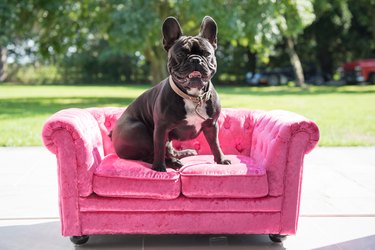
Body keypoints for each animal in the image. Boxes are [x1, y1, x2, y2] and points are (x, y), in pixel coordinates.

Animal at [110, 15, 231, 172]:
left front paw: (221, 160)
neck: (193, 96)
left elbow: (215, 144)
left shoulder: (211, 125)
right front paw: (159, 167)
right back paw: (171, 162)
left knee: (169, 149)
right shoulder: (161, 128)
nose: (195, 59)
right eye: (180, 54)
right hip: (138, 129)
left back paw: (183, 154)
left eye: (206, 53)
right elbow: (159, 149)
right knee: (149, 155)